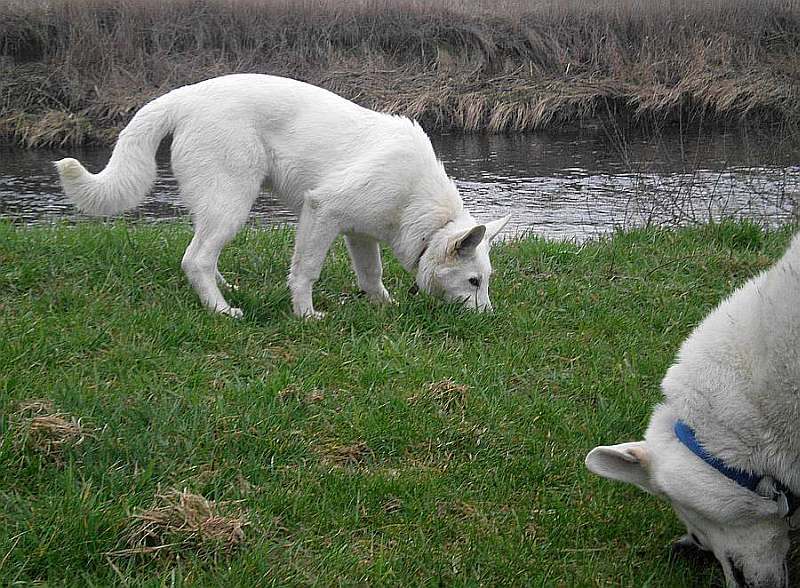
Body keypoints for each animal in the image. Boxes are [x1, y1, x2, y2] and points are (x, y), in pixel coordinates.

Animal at [56, 77, 510, 322]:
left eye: (485, 281)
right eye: (474, 281)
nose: (489, 319)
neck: (421, 201)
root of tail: (186, 96)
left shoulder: (360, 235)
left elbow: (371, 275)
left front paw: (383, 305)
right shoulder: (322, 212)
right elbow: (306, 271)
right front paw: (305, 315)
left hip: (220, 205)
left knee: (203, 254)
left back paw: (225, 289)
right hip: (233, 203)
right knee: (194, 260)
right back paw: (221, 311)